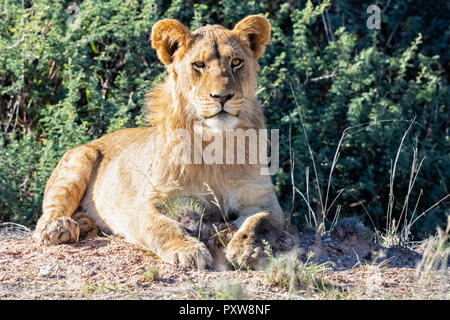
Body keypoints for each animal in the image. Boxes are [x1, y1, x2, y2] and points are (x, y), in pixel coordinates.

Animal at [33, 15, 284, 270]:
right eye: (199, 65)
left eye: (236, 62)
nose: (222, 96)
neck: (215, 144)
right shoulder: (143, 206)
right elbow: (162, 227)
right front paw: (188, 250)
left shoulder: (264, 200)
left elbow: (261, 222)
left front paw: (246, 249)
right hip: (80, 158)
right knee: (48, 213)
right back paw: (60, 227)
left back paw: (85, 223)